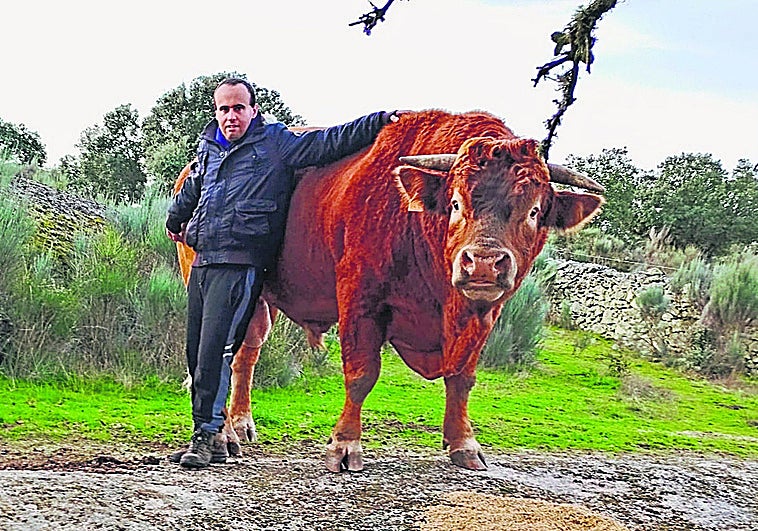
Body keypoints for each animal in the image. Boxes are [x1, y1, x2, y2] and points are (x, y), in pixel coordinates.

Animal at [173, 109, 604, 471]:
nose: (483, 262)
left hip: (262, 299)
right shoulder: (361, 300)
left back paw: (242, 424)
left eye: (534, 210)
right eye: (455, 203)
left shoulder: (483, 316)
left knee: (246, 353)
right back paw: (224, 436)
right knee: (221, 353)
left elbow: (462, 379)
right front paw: (344, 447)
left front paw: (465, 445)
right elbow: (362, 374)